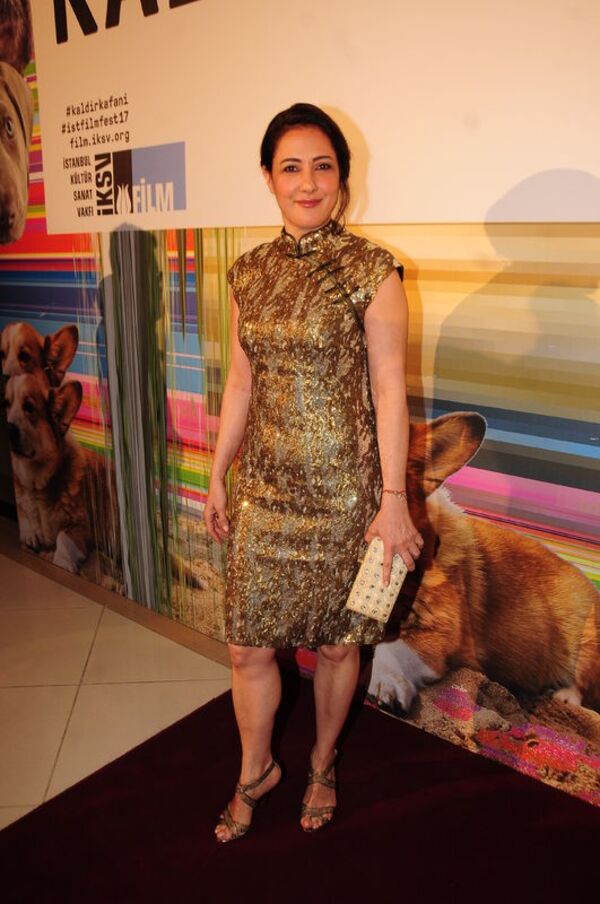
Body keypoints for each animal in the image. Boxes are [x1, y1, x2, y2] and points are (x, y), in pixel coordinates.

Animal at [4, 371, 118, 572]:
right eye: (6, 404)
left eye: (29, 407)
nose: (9, 429)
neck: (37, 486)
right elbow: (24, 515)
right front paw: (30, 535)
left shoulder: (81, 528)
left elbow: (62, 540)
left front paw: (62, 562)